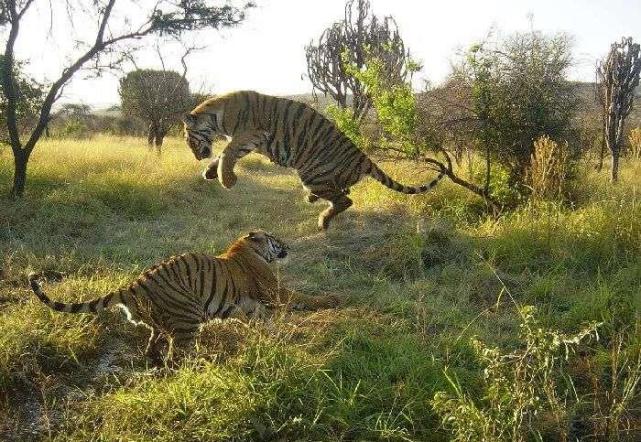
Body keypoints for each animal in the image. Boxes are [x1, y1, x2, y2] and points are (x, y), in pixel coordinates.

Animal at [28, 231, 340, 360]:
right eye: (276, 239)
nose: (287, 246)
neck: (247, 248)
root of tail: (133, 285)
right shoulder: (275, 292)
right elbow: (302, 298)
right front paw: (331, 301)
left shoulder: (245, 307)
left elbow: (262, 320)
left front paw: (274, 338)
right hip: (189, 315)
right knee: (177, 358)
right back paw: (203, 365)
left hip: (163, 321)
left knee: (156, 343)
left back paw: (153, 357)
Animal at [181, 88, 444, 230]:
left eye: (189, 141)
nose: (197, 156)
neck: (216, 117)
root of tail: (364, 158)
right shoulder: (244, 139)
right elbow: (223, 154)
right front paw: (210, 172)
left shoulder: (250, 134)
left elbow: (227, 152)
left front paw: (226, 180)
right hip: (323, 177)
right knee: (343, 192)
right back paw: (312, 199)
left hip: (311, 173)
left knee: (345, 200)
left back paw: (323, 222)